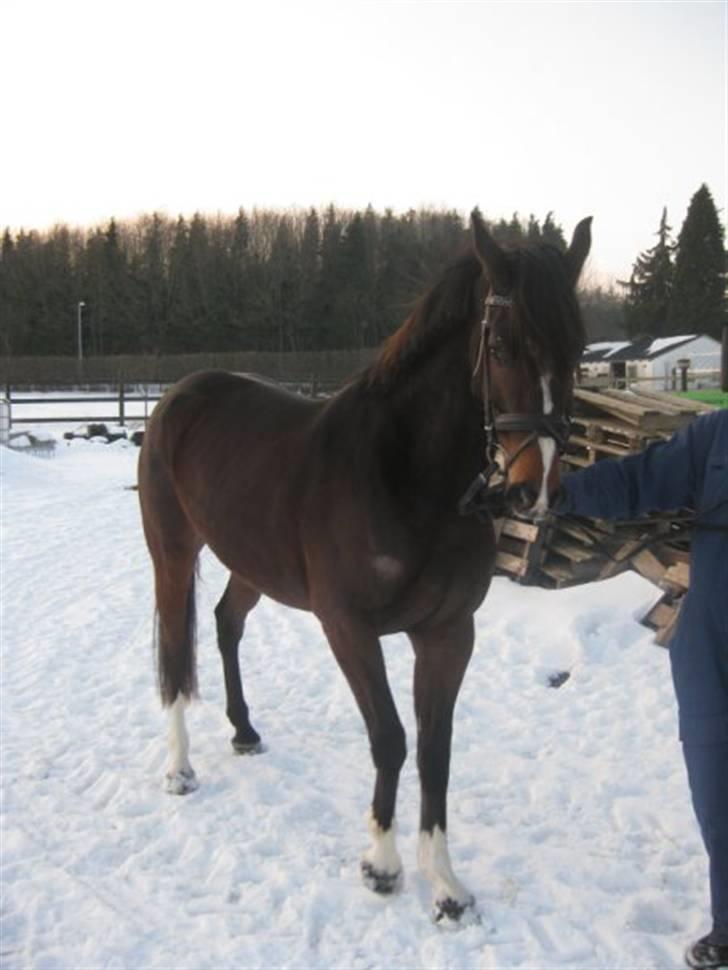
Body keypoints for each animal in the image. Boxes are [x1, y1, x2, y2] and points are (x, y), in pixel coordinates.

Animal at [138, 212, 592, 924]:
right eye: (500, 348)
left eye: (577, 351)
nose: (534, 490)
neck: (407, 475)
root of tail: (177, 396)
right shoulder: (348, 628)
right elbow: (391, 738)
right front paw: (382, 865)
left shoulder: (448, 633)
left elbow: (435, 750)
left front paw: (446, 885)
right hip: (174, 552)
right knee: (176, 646)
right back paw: (180, 770)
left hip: (252, 565)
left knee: (226, 624)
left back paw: (244, 731)